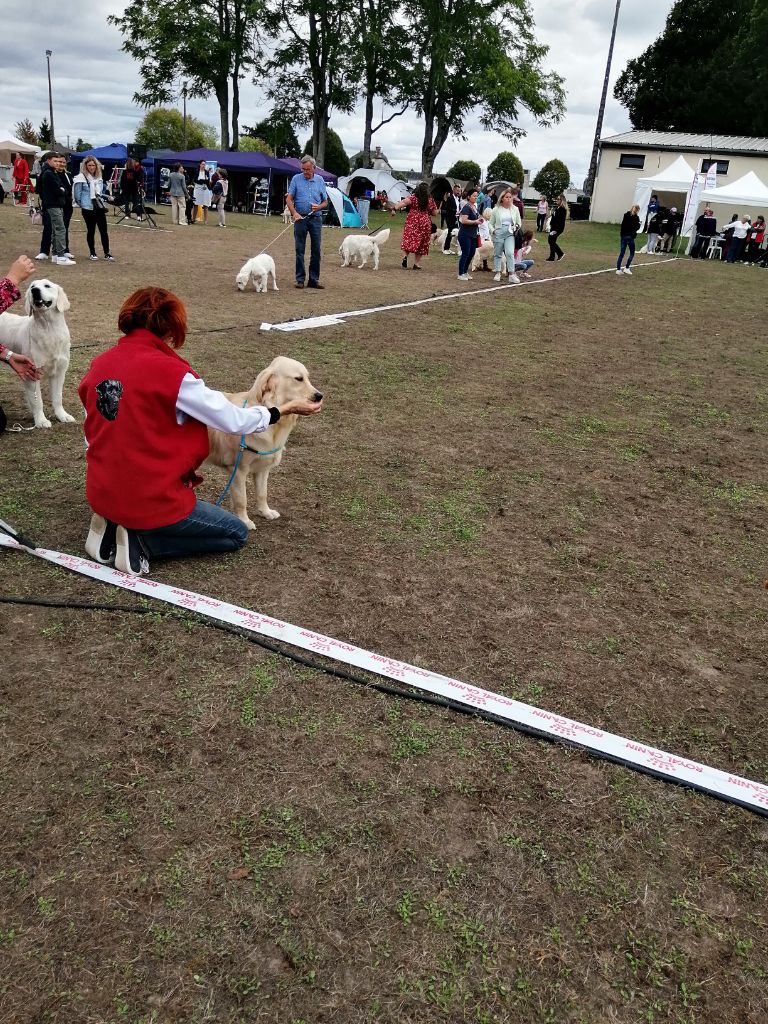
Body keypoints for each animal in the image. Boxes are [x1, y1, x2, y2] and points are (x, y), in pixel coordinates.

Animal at [0, 276, 74, 428]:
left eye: (47, 286)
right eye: (32, 286)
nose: (35, 291)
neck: (49, 329)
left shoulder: (59, 372)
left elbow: (58, 397)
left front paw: (62, 415)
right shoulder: (31, 373)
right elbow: (37, 401)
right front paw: (41, 421)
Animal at [204, 356, 321, 528]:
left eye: (307, 377)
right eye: (299, 379)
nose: (320, 396)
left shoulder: (263, 468)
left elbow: (262, 494)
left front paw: (265, 512)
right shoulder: (238, 470)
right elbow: (242, 499)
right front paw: (244, 521)